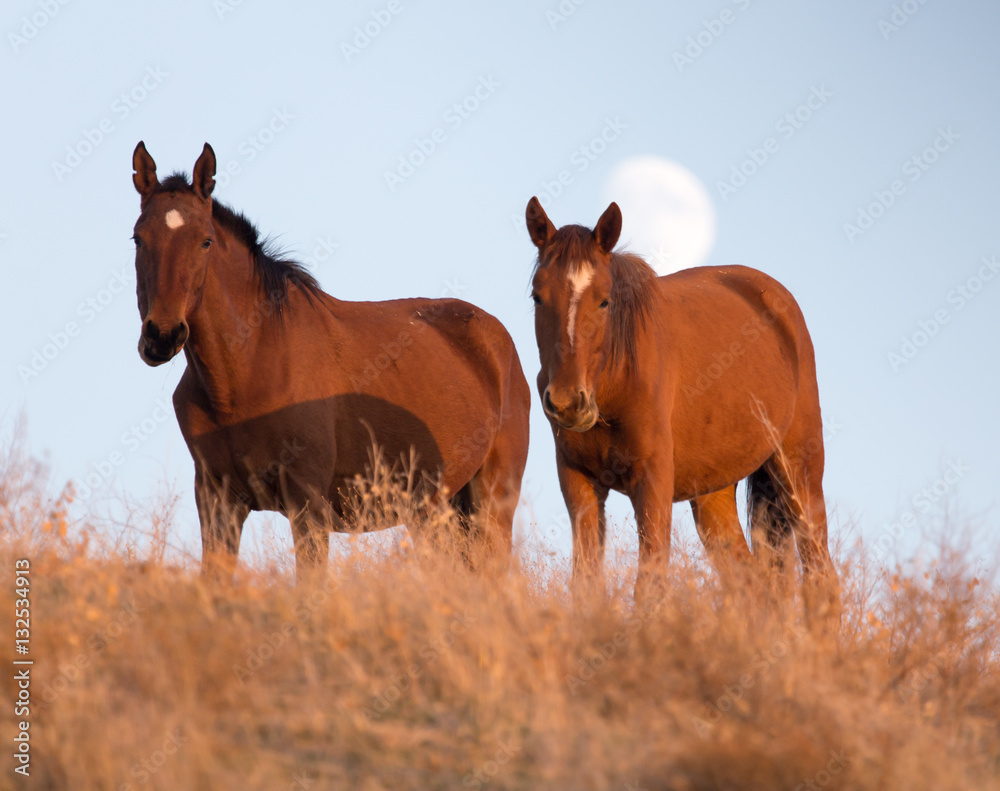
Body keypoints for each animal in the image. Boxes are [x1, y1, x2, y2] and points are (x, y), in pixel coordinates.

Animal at [131, 139, 532, 580]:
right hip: (432, 512)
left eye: (205, 241)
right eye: (138, 239)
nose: (162, 336)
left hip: (491, 502)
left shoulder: (307, 502)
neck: (248, 371)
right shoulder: (217, 500)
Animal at [528, 196, 840, 620]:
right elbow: (586, 586)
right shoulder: (579, 482)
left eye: (605, 300)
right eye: (537, 297)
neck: (615, 382)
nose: (567, 402)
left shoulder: (653, 482)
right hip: (713, 494)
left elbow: (650, 588)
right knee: (751, 584)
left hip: (797, 472)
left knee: (822, 578)